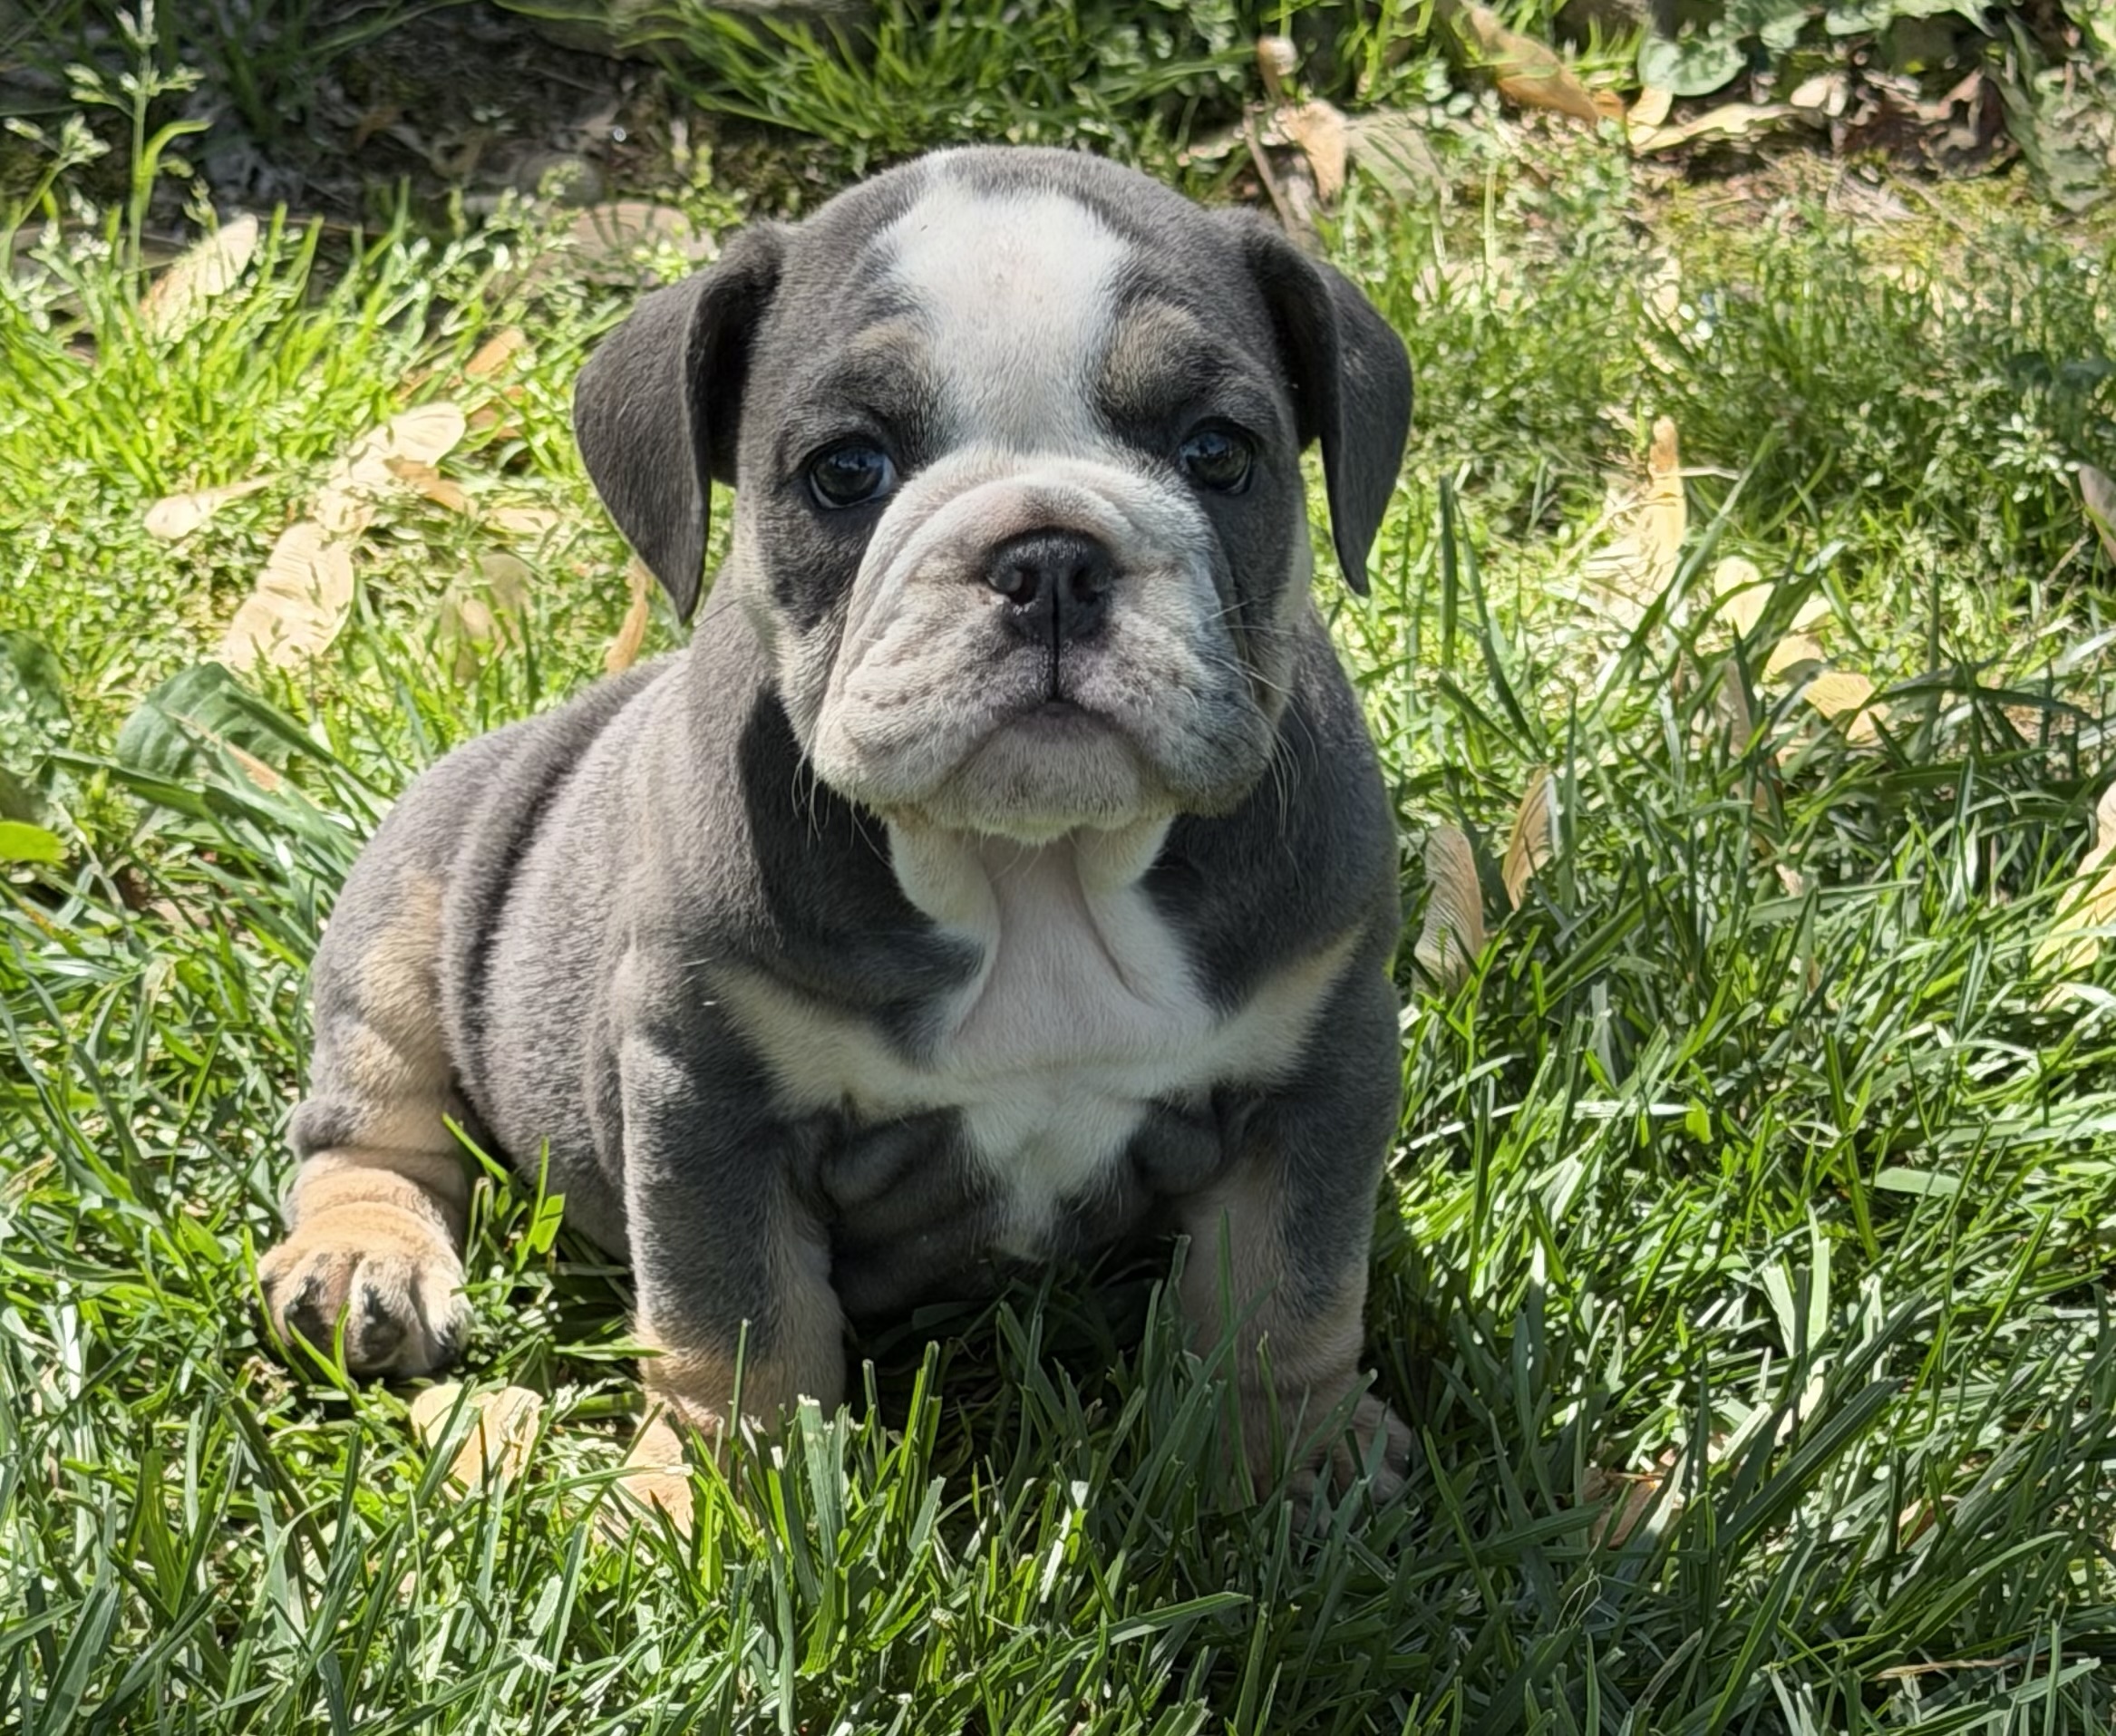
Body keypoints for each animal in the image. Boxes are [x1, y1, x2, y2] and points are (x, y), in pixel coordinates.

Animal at [257, 145, 1415, 1513]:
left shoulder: (1322, 1061)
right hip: (406, 905)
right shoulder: (708, 1090)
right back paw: (359, 1262)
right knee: (369, 1119)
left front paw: (1302, 1460)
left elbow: (1290, 1289)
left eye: (1219, 451)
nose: (1050, 556)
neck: (1034, 868)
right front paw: (720, 1497)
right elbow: (735, 1313)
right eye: (847, 470)